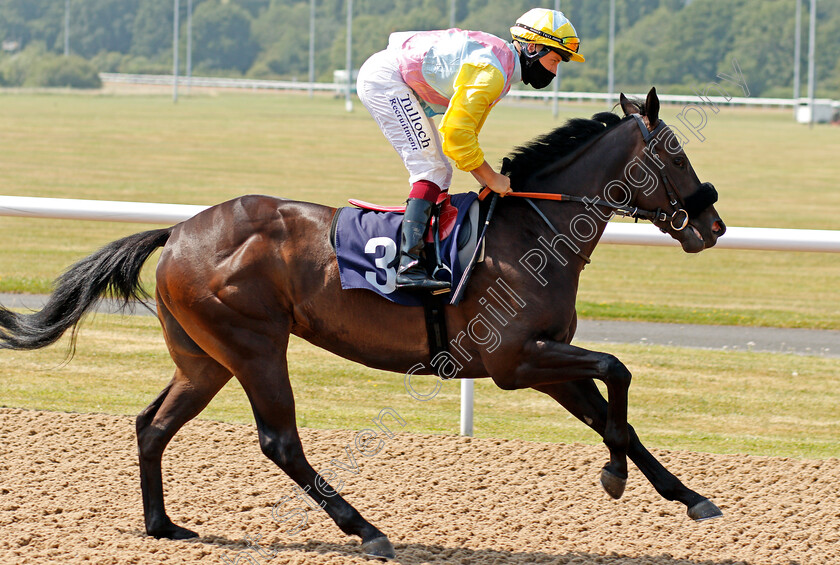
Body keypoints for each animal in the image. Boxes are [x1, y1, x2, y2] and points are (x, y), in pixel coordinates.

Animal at [0, 89, 720, 560]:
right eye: (676, 154)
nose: (713, 224)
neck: (531, 231)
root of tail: (177, 231)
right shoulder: (515, 361)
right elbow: (616, 371)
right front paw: (617, 475)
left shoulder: (543, 356)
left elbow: (611, 413)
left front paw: (680, 492)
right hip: (254, 345)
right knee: (280, 442)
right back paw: (366, 529)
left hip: (204, 358)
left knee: (153, 424)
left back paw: (161, 524)